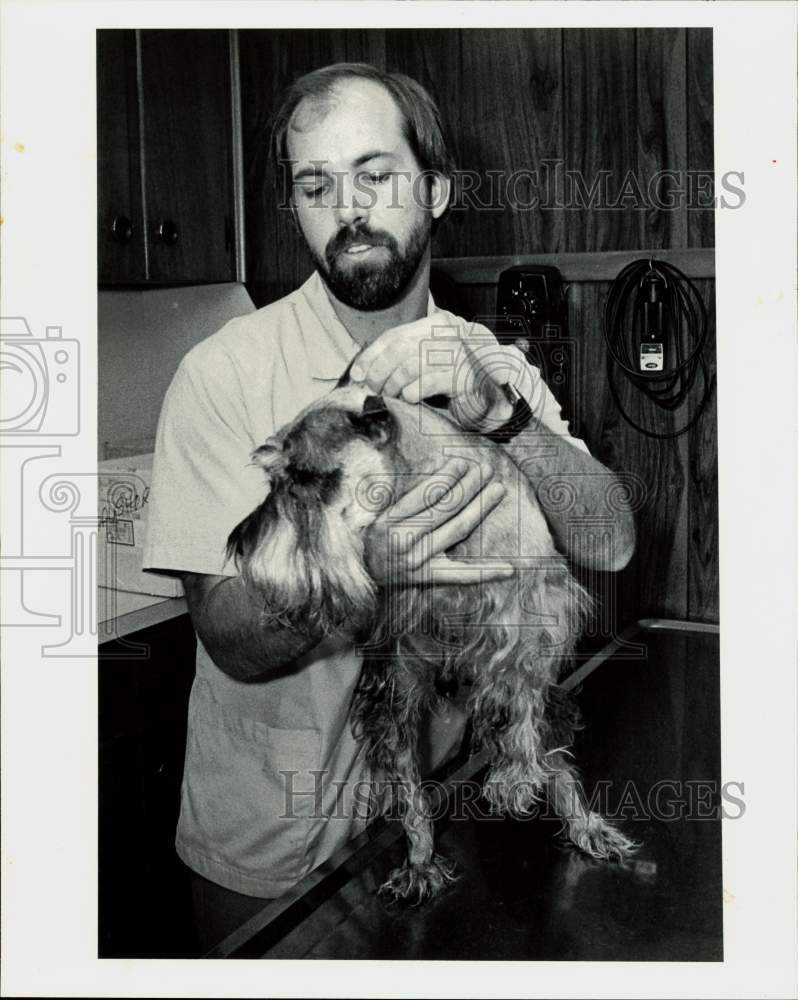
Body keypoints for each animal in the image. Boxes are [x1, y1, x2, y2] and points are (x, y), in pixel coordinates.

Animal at [227, 378, 636, 904]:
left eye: (304, 476)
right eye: (273, 479)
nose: (240, 545)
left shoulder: (528, 618)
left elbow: (519, 704)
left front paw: (516, 773)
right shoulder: (394, 671)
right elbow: (407, 781)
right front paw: (420, 854)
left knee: (553, 751)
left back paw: (584, 823)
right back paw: (421, 861)